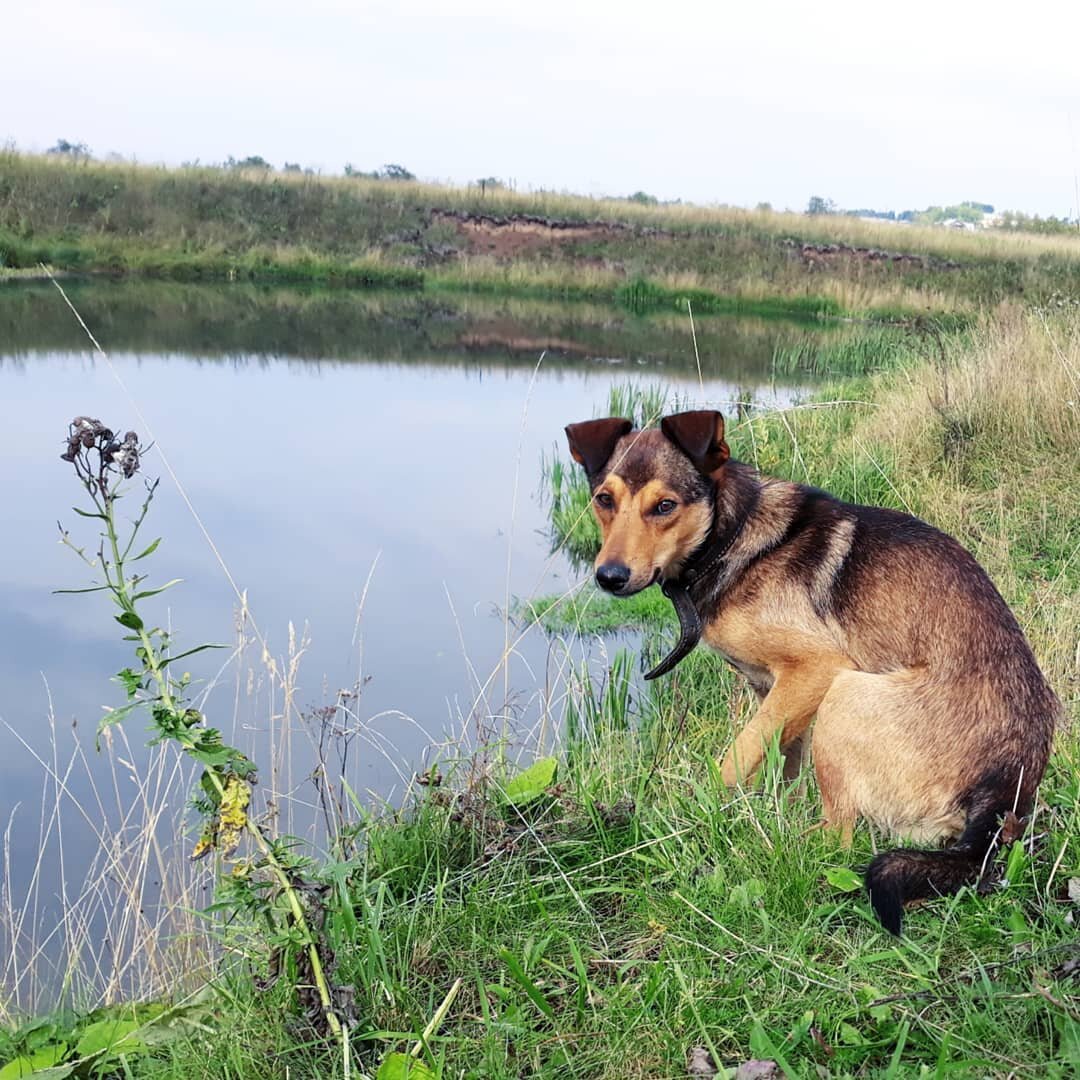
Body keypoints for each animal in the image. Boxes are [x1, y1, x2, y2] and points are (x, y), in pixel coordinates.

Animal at [570, 408, 1058, 933]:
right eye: (603, 500)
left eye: (665, 506)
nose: (609, 577)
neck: (730, 535)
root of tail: (1004, 791)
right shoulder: (777, 692)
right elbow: (780, 763)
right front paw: (769, 811)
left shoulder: (816, 670)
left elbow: (735, 759)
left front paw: (708, 813)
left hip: (847, 696)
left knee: (839, 837)